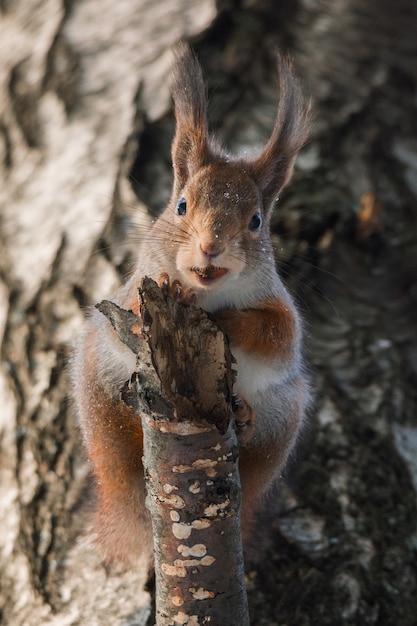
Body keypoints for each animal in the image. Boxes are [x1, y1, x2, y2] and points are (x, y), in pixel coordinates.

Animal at [72, 44, 312, 564]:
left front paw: (231, 322)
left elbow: (278, 336)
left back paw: (244, 417)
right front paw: (169, 286)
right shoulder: (128, 290)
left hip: (284, 413)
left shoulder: (281, 309)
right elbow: (135, 303)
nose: (210, 247)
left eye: (256, 220)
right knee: (119, 453)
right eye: (181, 206)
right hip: (98, 389)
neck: (207, 293)